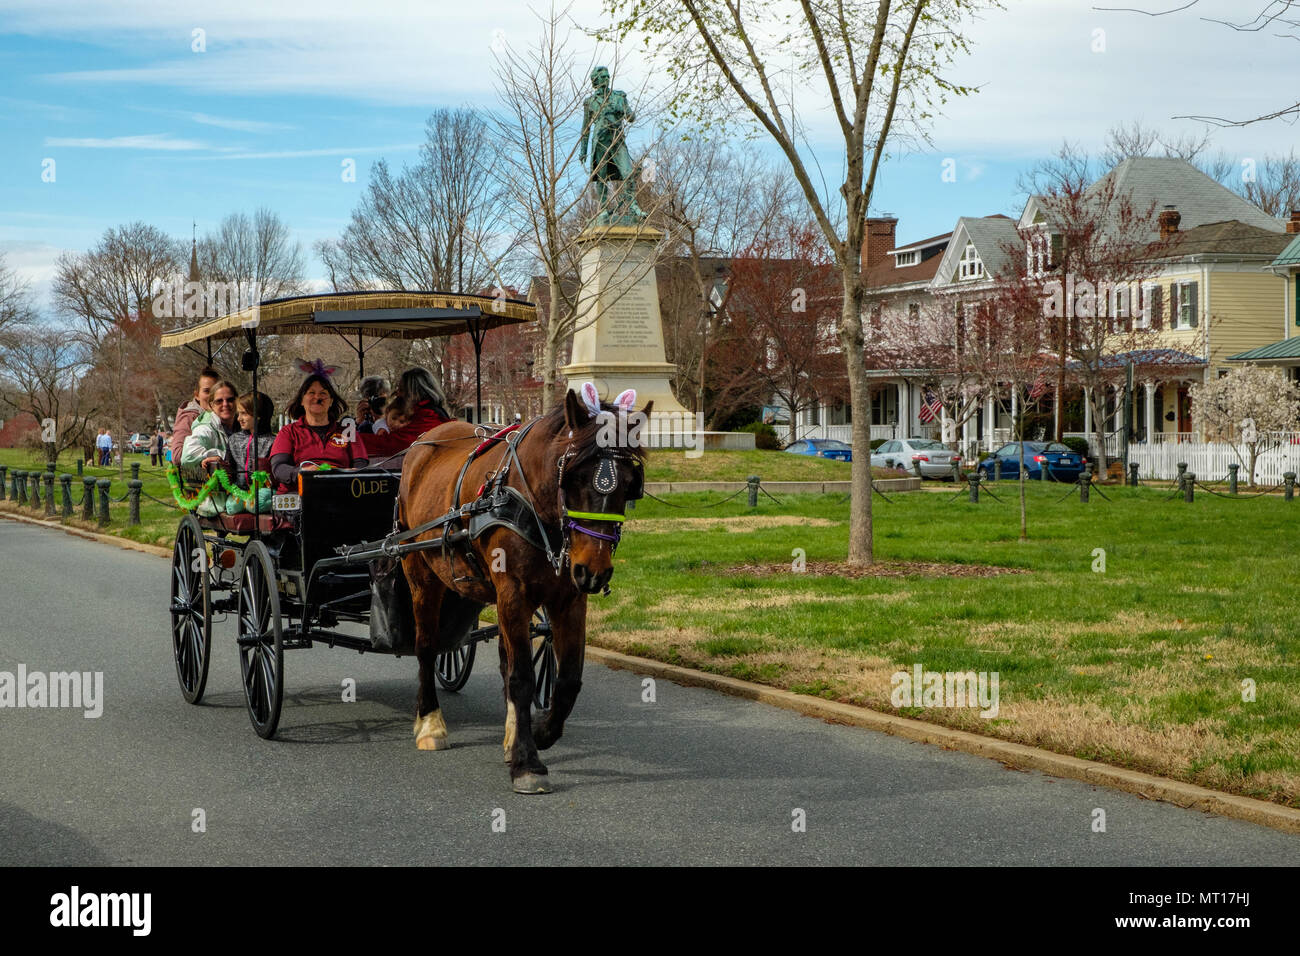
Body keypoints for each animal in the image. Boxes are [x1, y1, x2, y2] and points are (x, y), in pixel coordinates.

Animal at [395, 387, 650, 790]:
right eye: (574, 476)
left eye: (629, 483)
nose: (594, 571)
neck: (535, 506)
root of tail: (424, 442)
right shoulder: (513, 594)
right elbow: (521, 678)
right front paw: (527, 761)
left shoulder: (568, 599)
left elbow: (567, 679)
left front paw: (540, 733)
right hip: (420, 572)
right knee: (426, 647)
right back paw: (431, 722)